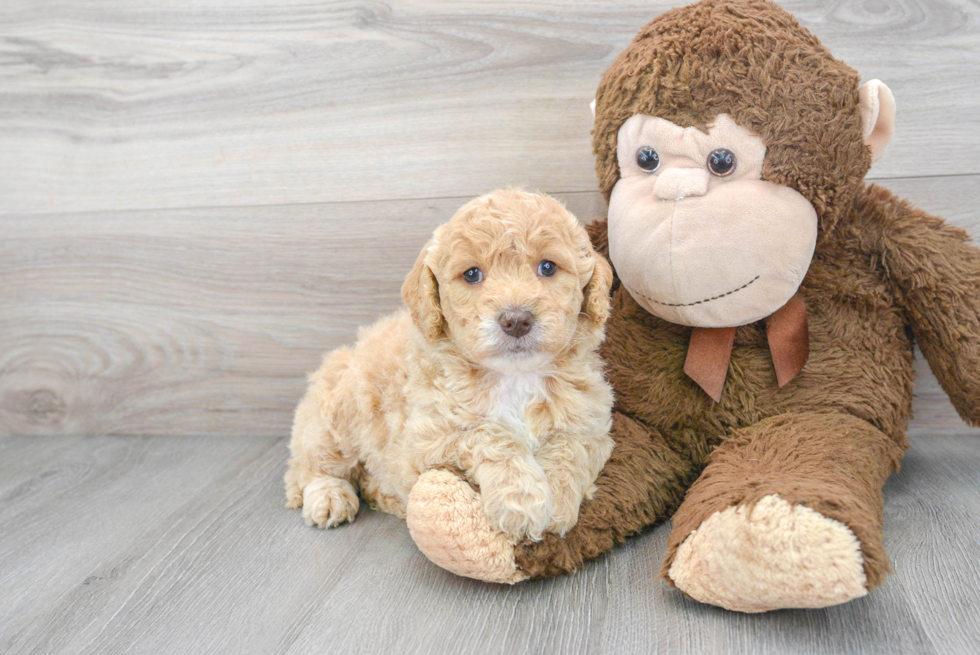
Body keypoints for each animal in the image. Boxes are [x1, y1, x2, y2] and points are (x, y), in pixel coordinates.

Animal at [284, 190, 616, 544]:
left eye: (548, 267)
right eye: (472, 274)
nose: (516, 320)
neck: (515, 377)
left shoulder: (590, 424)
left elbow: (569, 447)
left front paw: (557, 501)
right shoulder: (426, 438)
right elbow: (490, 435)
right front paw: (522, 501)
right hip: (332, 417)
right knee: (309, 468)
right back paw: (329, 497)